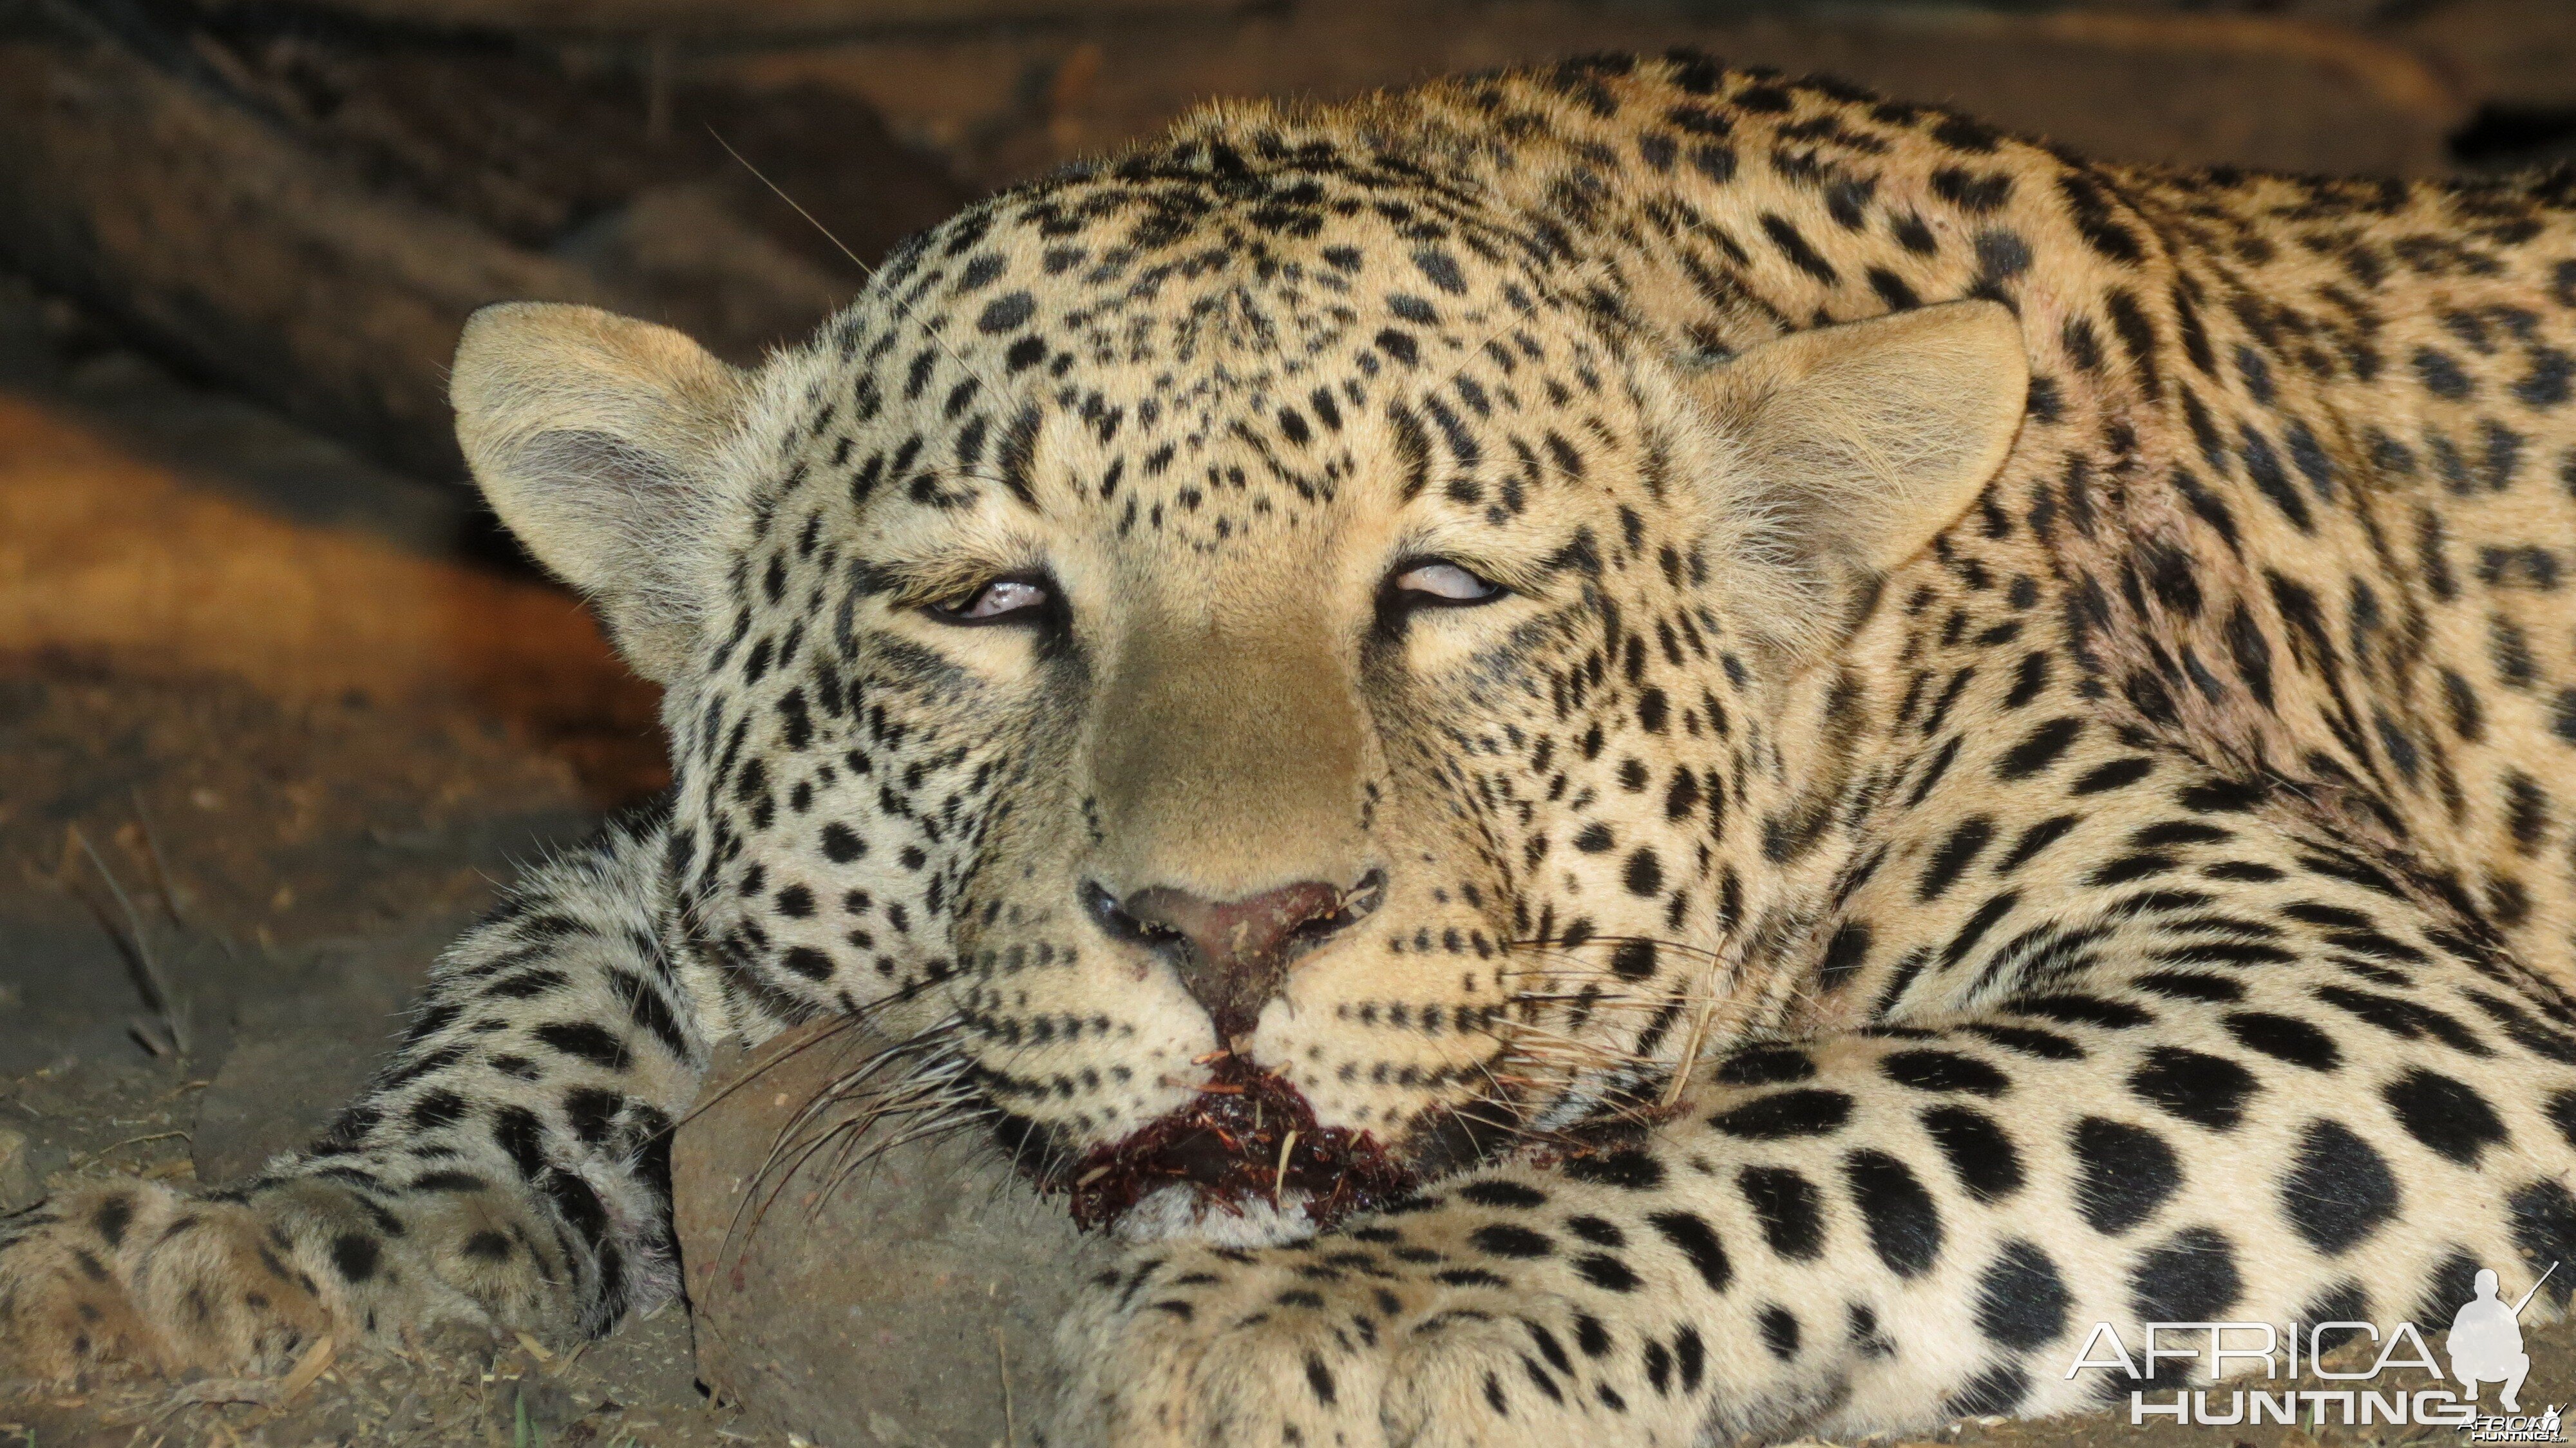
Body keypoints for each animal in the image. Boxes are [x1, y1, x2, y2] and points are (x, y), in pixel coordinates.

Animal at [5, 48, 2576, 1443]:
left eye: (1440, 592)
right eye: (995, 605)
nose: (1228, 929)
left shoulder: (2358, 984)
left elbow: (1851, 1110)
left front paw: (1321, 1316)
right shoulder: (655, 878)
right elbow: (523, 1013)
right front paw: (258, 1243)